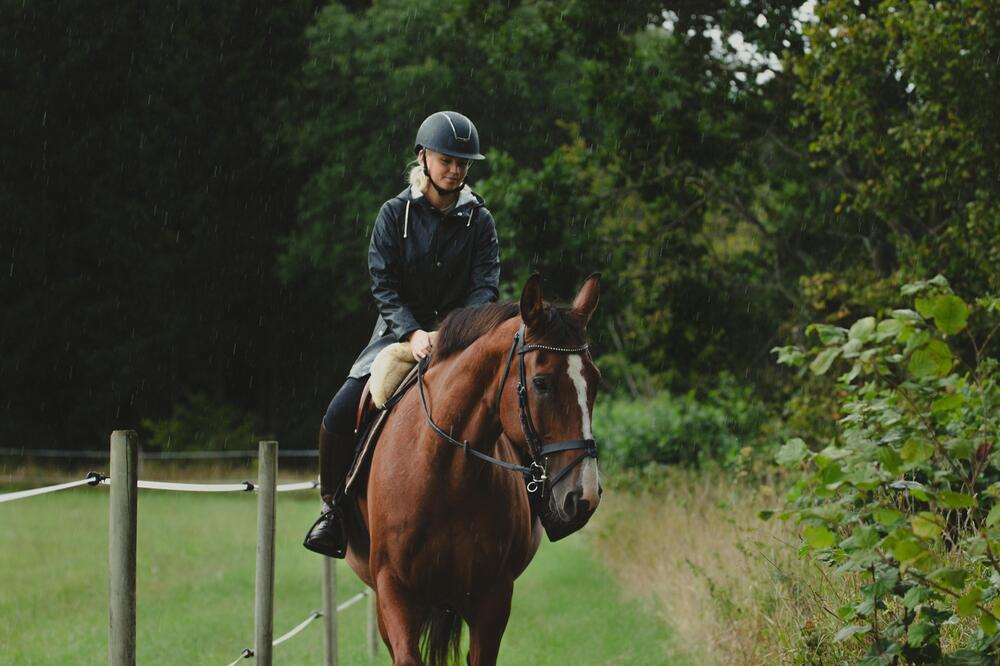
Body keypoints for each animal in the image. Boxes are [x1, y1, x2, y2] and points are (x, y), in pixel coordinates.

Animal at [340, 272, 604, 660]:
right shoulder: (395, 594)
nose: (584, 494)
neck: (444, 475)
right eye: (541, 383)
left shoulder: (492, 600)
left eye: (595, 381)